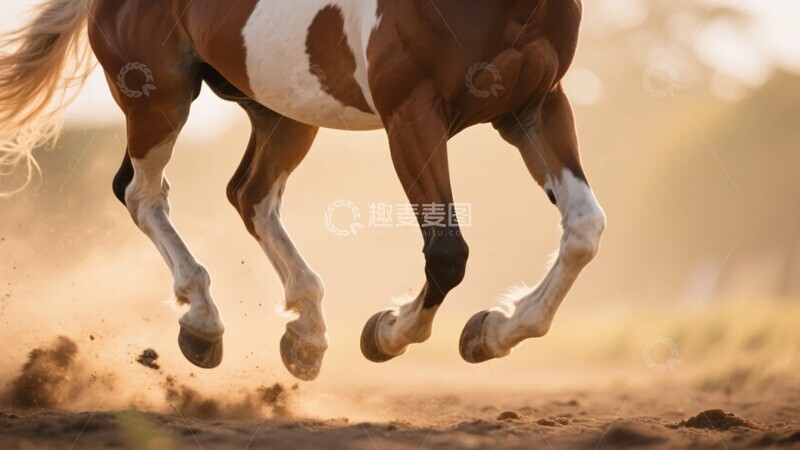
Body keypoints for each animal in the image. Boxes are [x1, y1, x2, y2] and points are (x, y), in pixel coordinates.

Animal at [0, 0, 605, 381]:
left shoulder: (536, 106)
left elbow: (584, 230)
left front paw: (492, 333)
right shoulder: (413, 115)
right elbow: (447, 254)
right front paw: (387, 333)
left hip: (283, 110)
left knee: (250, 196)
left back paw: (306, 333)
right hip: (158, 97)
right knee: (143, 195)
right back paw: (203, 321)